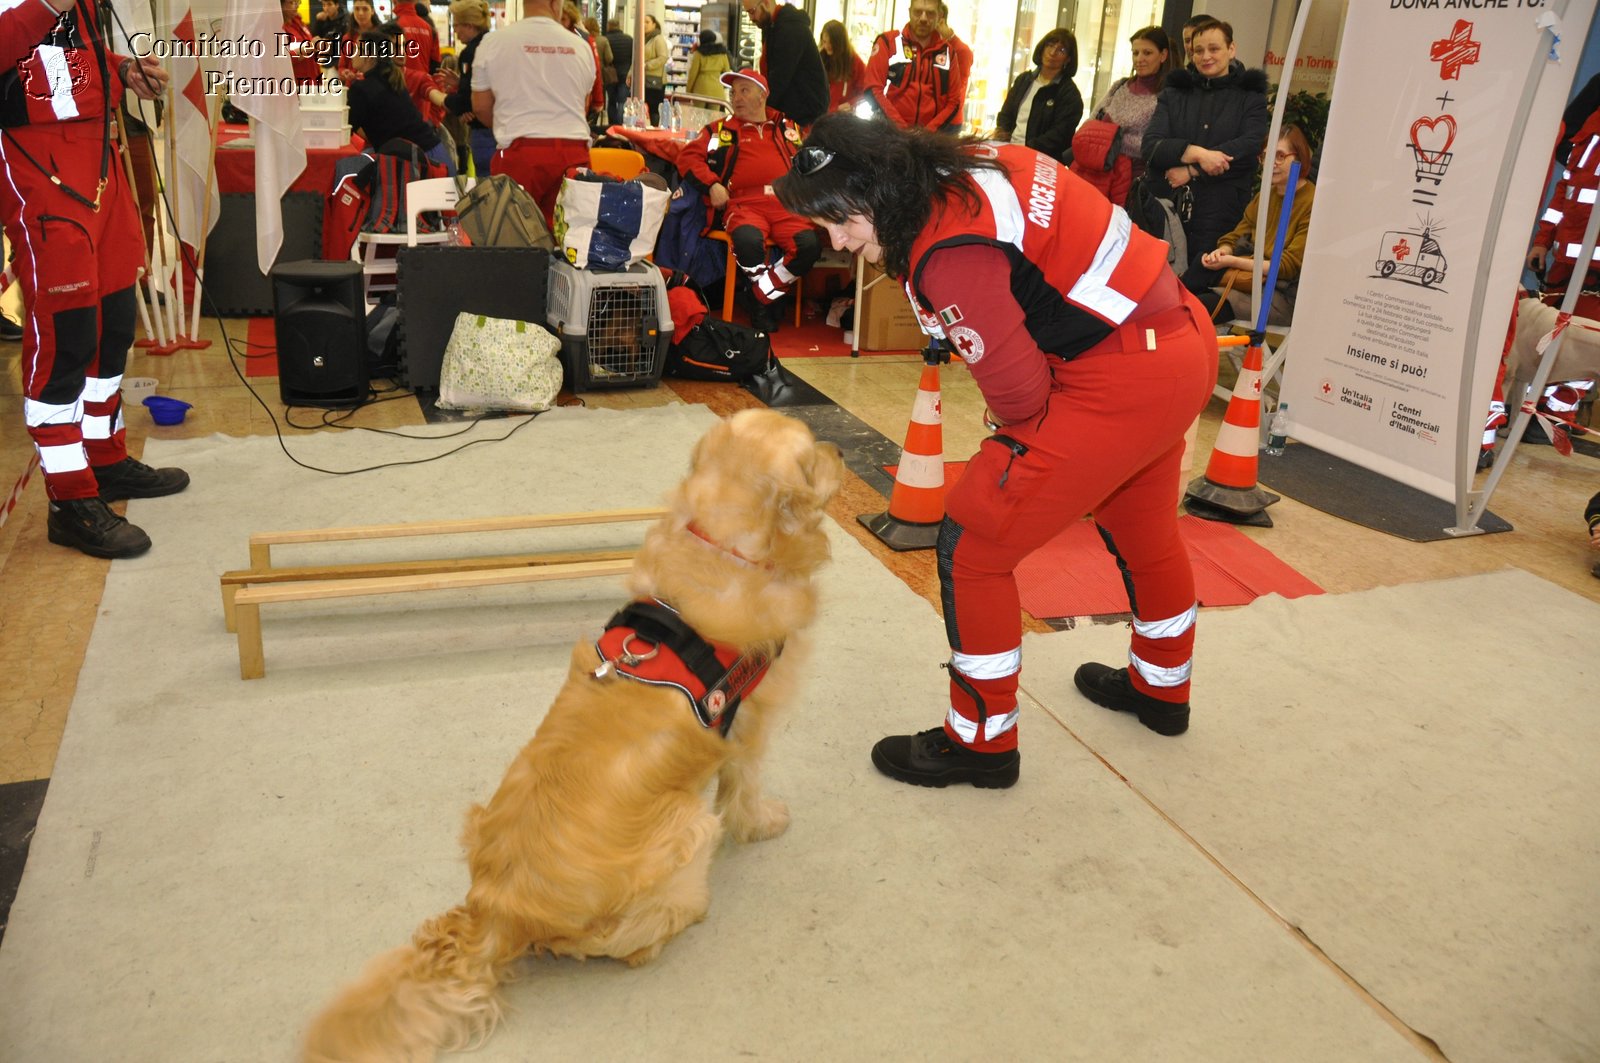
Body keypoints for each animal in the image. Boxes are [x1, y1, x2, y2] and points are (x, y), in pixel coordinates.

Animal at [302, 408, 851, 1063]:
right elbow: (744, 790)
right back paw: (684, 919)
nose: (844, 455)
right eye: (813, 454)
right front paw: (765, 821)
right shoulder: (751, 721)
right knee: (638, 941)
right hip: (689, 827)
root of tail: (495, 913)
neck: (720, 542)